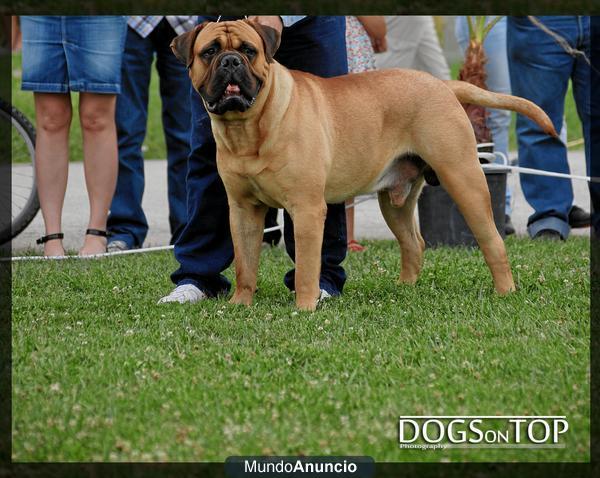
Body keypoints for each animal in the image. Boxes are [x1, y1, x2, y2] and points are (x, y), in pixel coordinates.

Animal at [171, 19, 560, 310]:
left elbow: (307, 267)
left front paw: (305, 306)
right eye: (209, 51)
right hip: (396, 201)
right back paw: (405, 289)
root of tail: (443, 84)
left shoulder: (307, 209)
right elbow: (245, 263)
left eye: (249, 51)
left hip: (464, 179)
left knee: (492, 241)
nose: (230, 62)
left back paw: (505, 290)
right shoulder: (242, 210)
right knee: (413, 243)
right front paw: (240, 303)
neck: (248, 128)